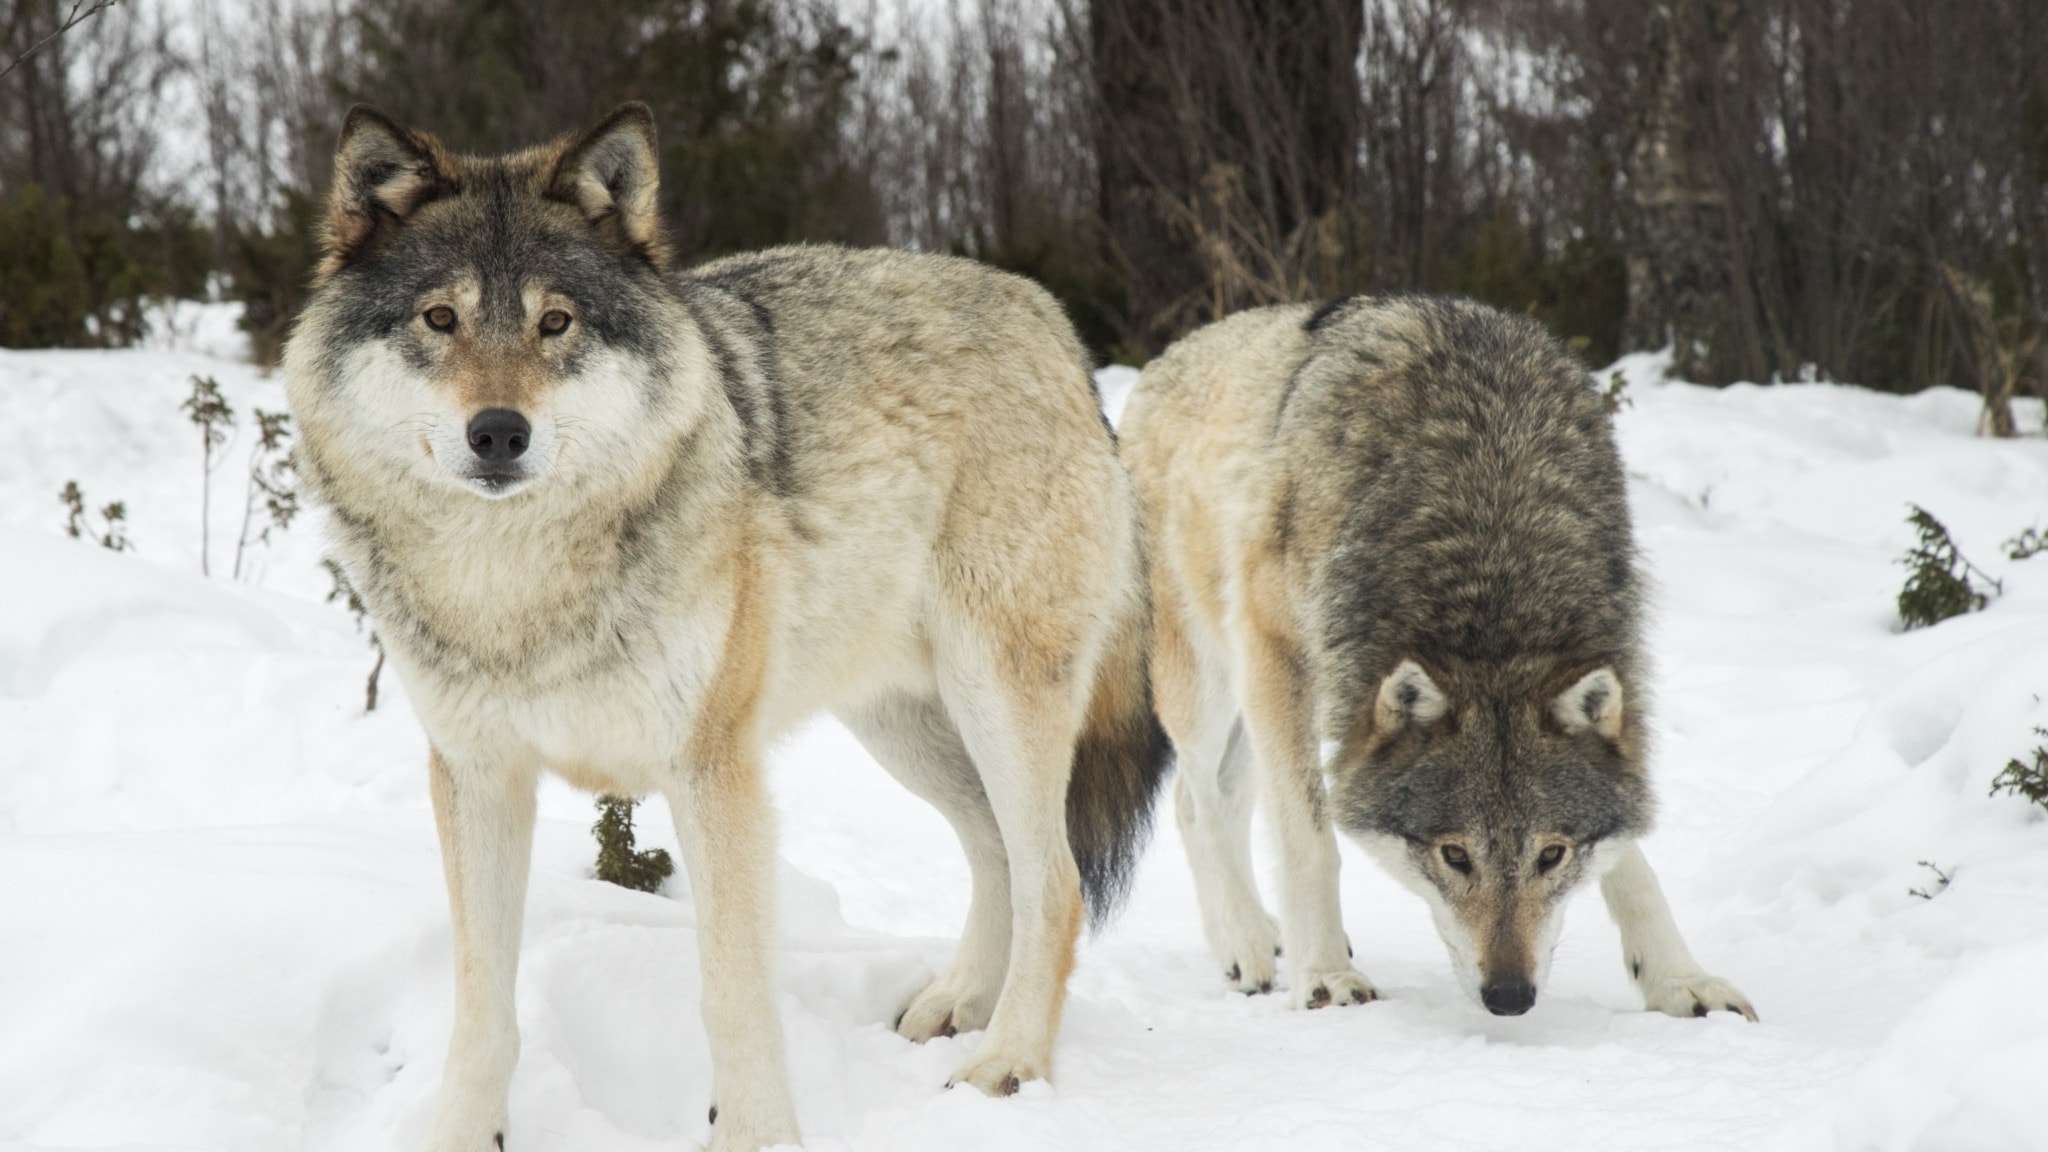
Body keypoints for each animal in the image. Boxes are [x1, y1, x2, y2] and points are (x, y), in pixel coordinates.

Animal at [284, 100, 1171, 1147]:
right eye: (440, 319)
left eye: (555, 322)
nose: (498, 433)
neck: (516, 581)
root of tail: (1056, 327)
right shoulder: (478, 776)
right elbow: (483, 1006)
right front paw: (464, 1134)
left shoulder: (713, 774)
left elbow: (733, 996)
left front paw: (751, 1133)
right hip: (905, 727)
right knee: (997, 853)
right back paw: (958, 1006)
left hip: (995, 699)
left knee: (1057, 882)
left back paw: (1008, 1064)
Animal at [1122, 297, 1761, 1020]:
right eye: (1455, 855)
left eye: (1552, 855)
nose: (1510, 997)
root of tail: (1168, 359)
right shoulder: (1276, 653)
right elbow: (1311, 840)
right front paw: (1326, 977)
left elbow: (1632, 862)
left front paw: (1679, 980)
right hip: (1212, 681)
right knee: (1192, 798)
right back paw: (1245, 942)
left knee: (1227, 797)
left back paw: (1263, 932)